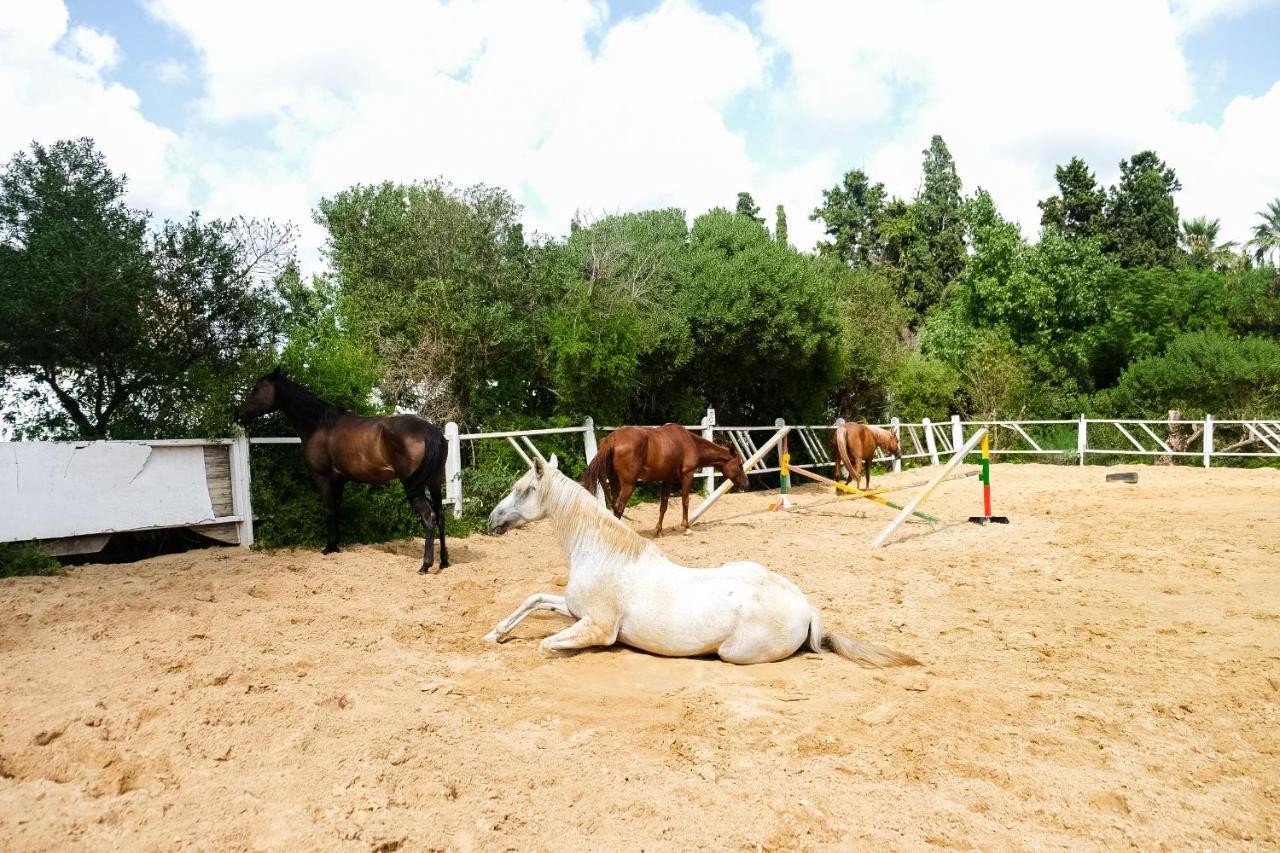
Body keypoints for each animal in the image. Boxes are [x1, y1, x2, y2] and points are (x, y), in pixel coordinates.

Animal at [235, 366, 450, 571]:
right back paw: (444, 561)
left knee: (429, 517)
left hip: (415, 486)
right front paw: (336, 546)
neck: (319, 424)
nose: (238, 415)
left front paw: (328, 547)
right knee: (440, 514)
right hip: (434, 482)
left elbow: (329, 509)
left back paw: (425, 564)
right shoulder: (340, 478)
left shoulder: (322, 476)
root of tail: (430, 430)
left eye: (256, 389)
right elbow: (337, 508)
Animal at [481, 458, 921, 666]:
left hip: (734, 652)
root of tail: (806, 607)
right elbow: (535, 599)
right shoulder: (574, 609)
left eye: (522, 490)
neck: (604, 554)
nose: (492, 520)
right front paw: (493, 634)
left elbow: (545, 645)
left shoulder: (596, 628)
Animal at [583, 422, 747, 535]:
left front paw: (659, 530)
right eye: (739, 464)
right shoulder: (687, 475)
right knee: (619, 506)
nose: (746, 483)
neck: (690, 442)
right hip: (628, 484)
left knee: (616, 506)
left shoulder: (668, 480)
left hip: (616, 481)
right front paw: (686, 527)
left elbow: (664, 505)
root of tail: (612, 438)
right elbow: (685, 501)